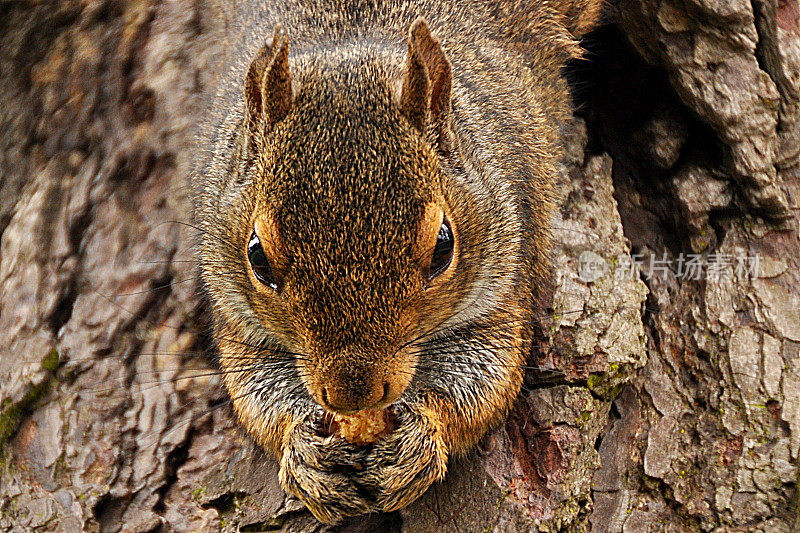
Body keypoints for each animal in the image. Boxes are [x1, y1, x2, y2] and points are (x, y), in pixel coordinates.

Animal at [195, 0, 600, 524]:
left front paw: (420, 439)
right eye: (257, 258)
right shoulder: (235, 314)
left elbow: (487, 381)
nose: (353, 394)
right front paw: (303, 454)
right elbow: (253, 392)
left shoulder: (507, 278)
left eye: (443, 248)